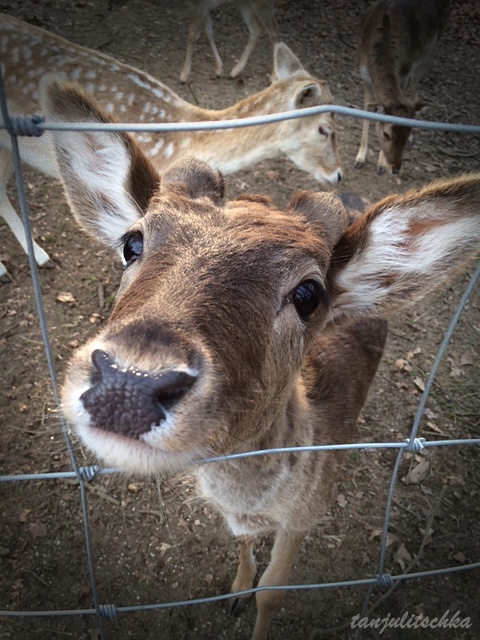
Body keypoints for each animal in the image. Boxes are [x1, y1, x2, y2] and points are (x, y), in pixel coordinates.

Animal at [40, 79, 480, 640]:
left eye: (309, 293)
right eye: (132, 242)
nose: (129, 381)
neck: (259, 498)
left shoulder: (307, 515)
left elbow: (273, 592)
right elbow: (241, 542)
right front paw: (233, 591)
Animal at [354, 0, 452, 174]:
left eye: (407, 134)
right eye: (386, 134)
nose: (395, 168)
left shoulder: (404, 75)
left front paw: (381, 165)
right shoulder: (364, 77)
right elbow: (367, 112)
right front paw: (359, 158)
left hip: (428, 52)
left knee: (415, 84)